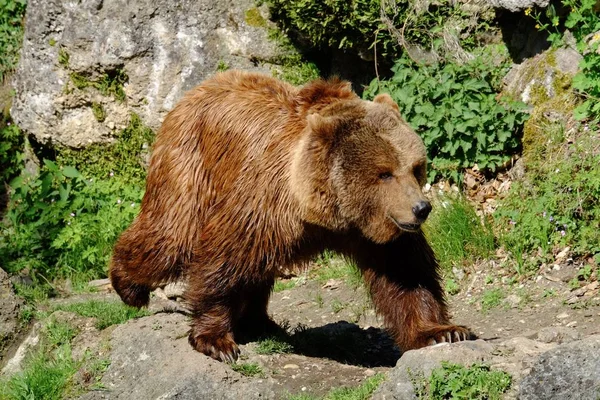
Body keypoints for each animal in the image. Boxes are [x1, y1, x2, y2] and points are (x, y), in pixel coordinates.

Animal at [109, 69, 474, 362]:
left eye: (415, 167)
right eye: (385, 173)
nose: (421, 208)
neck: (323, 209)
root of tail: (193, 92)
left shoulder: (372, 231)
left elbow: (406, 274)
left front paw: (444, 331)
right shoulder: (261, 205)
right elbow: (222, 263)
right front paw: (216, 340)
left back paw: (260, 322)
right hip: (189, 164)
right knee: (168, 235)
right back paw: (129, 287)